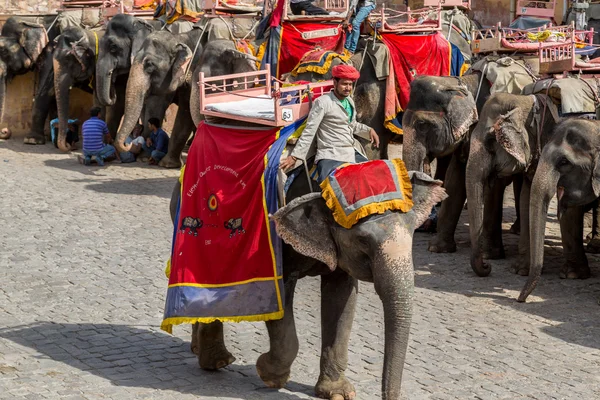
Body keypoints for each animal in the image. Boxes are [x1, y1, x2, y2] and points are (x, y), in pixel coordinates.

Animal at [169, 169, 446, 400]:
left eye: (413, 233)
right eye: (363, 241)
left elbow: (341, 299)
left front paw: (337, 394)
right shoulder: (278, 237)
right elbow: (280, 295)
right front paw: (267, 373)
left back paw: (201, 350)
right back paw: (216, 362)